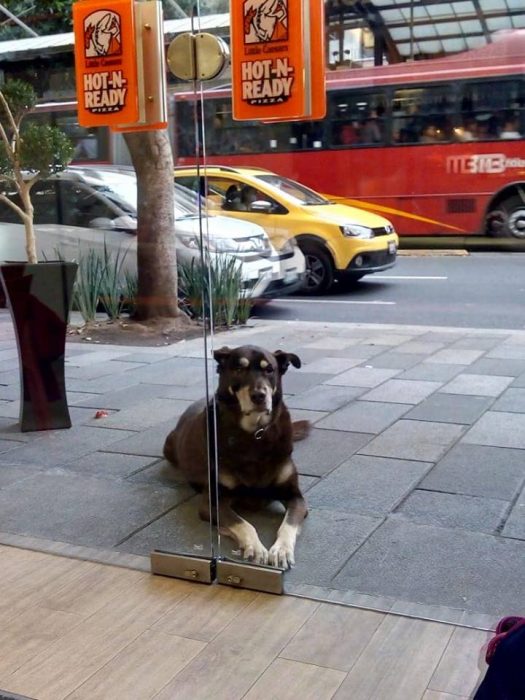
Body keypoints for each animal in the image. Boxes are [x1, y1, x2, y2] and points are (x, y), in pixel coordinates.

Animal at [163, 344, 308, 568]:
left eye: (269, 370)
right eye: (239, 369)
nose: (259, 395)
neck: (255, 434)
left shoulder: (295, 496)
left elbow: (289, 524)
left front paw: (281, 550)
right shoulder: (213, 502)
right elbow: (243, 523)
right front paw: (255, 547)